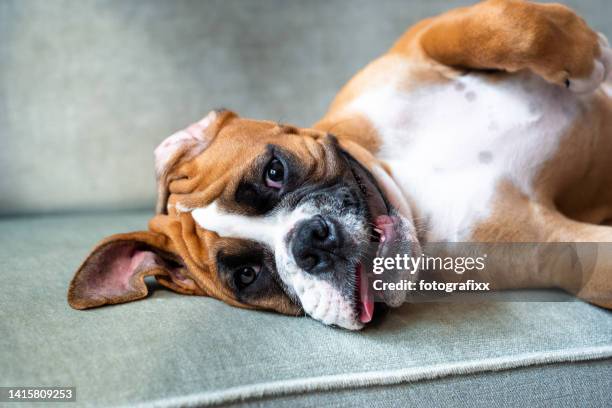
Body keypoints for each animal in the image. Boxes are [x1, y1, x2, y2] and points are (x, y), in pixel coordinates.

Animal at [69, 0, 612, 330]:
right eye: (246, 275)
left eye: (274, 172)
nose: (309, 242)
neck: (408, 184)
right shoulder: (564, 250)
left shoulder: (421, 41)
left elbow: (506, 25)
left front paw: (588, 56)